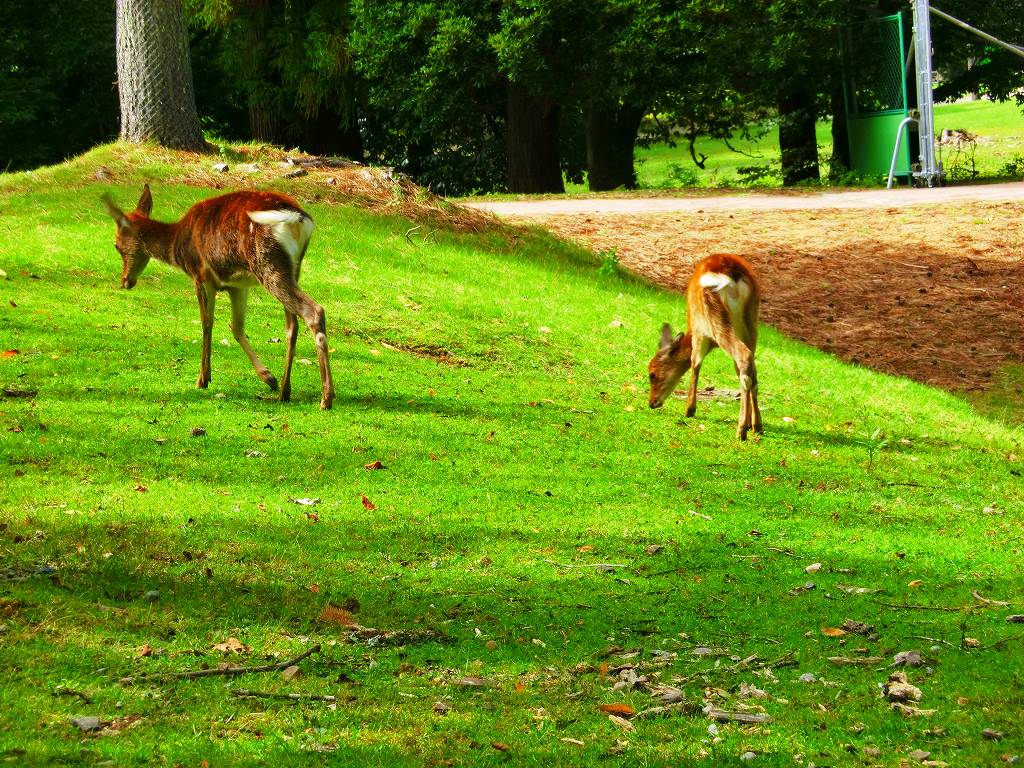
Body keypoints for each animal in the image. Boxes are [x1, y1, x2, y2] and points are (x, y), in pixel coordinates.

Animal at [102, 185, 334, 409]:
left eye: (116, 245)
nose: (126, 281)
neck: (177, 243)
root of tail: (299, 218)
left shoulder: (201, 274)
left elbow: (206, 323)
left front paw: (202, 379)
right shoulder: (237, 286)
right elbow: (237, 328)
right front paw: (269, 378)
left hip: (268, 263)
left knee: (314, 311)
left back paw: (326, 398)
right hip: (293, 268)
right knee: (292, 326)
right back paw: (284, 391)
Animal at [648, 253, 761, 440]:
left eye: (652, 374)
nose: (652, 403)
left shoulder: (699, 332)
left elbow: (695, 364)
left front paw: (689, 410)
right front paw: (755, 424)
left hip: (714, 314)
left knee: (743, 356)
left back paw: (741, 430)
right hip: (751, 321)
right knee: (750, 365)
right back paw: (755, 425)